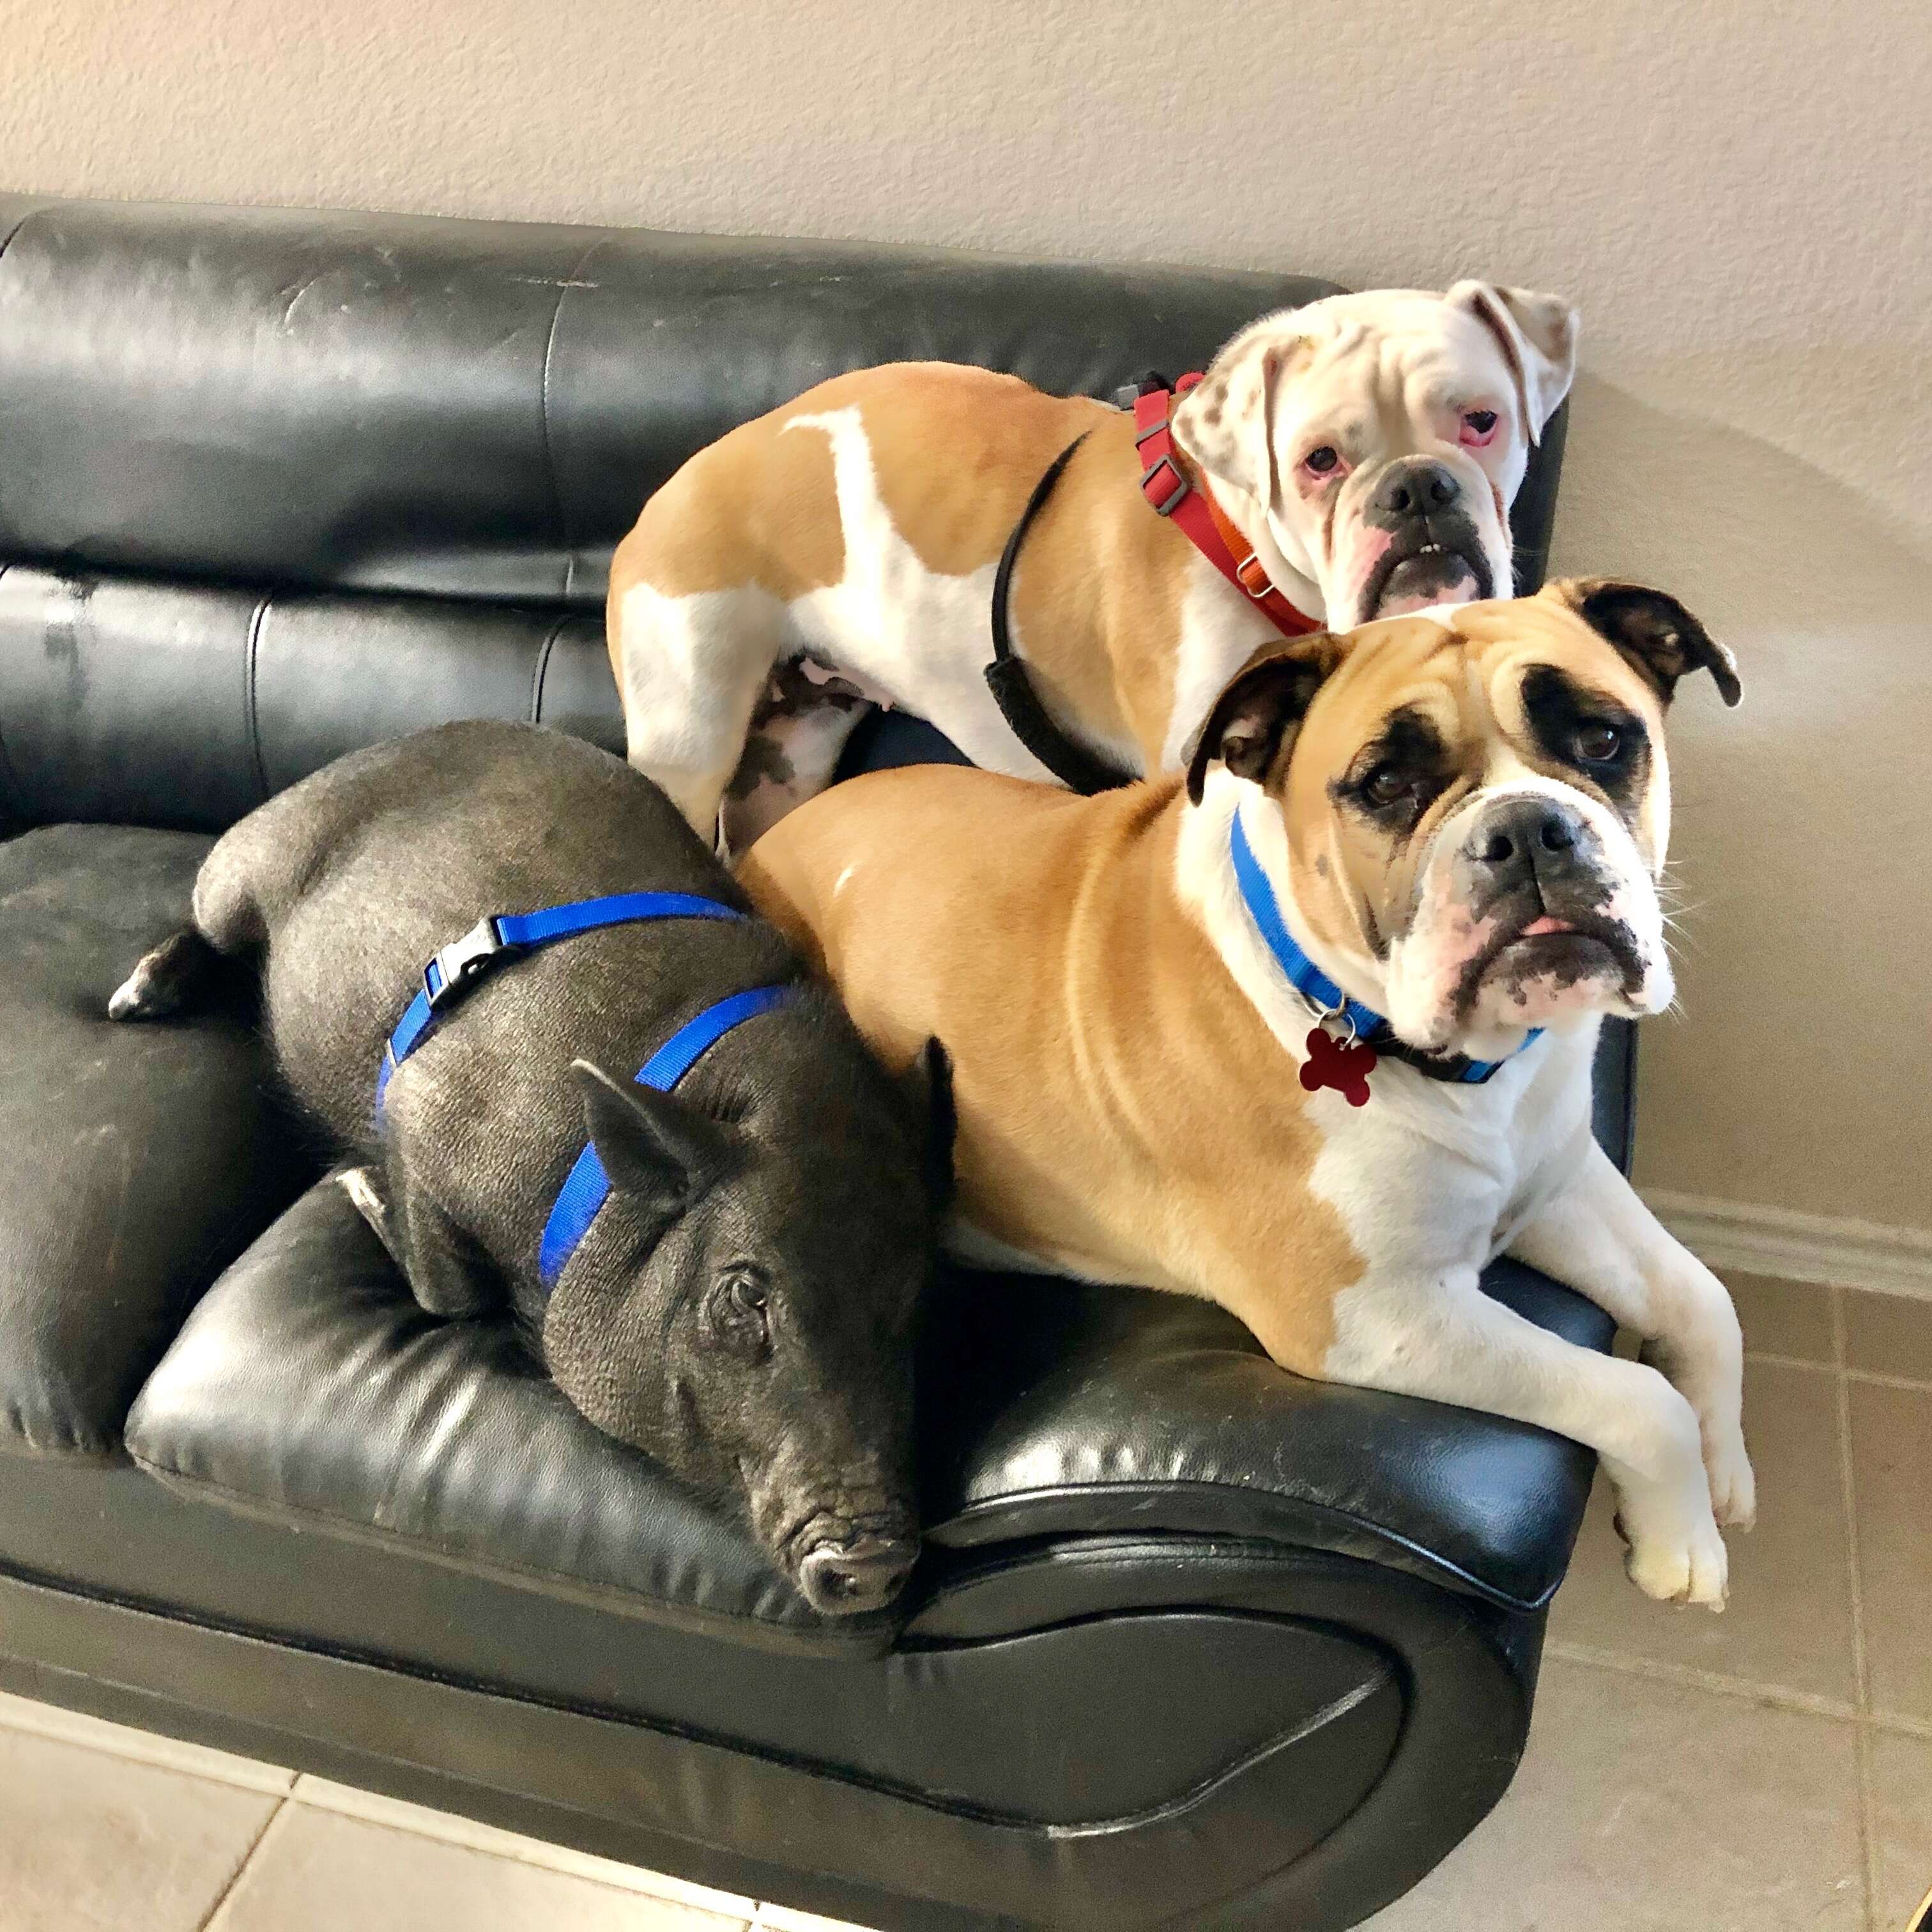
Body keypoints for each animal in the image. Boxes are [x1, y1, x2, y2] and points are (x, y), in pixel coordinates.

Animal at [111, 726, 942, 1615]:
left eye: (915, 1301)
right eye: (746, 1293)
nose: (875, 1557)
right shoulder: (424, 1110)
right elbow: (451, 1292)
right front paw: (356, 1185)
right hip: (241, 866)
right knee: (207, 925)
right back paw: (134, 1000)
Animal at [610, 282, 1576, 846]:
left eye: (1482, 422)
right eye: (1320, 461)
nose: (1418, 490)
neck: (1242, 550)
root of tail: (667, 493)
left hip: (791, 758)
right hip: (688, 737)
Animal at [746, 579, 1761, 1607]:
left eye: (1603, 738)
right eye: (1385, 784)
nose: (1526, 830)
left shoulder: (1561, 1182)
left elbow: (1702, 1299)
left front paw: (1723, 1474)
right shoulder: (1373, 1318)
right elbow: (1634, 1396)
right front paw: (1680, 1539)